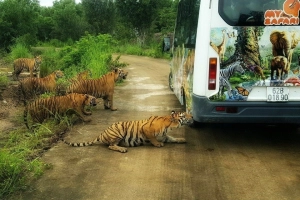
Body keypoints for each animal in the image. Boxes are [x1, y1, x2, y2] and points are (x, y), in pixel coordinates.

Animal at [64, 111, 193, 153]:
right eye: (184, 115)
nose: (192, 116)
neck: (169, 125)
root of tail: (102, 133)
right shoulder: (147, 129)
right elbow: (152, 138)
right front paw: (157, 144)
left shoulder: (165, 136)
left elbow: (173, 138)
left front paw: (182, 139)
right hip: (118, 131)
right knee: (110, 146)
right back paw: (122, 149)